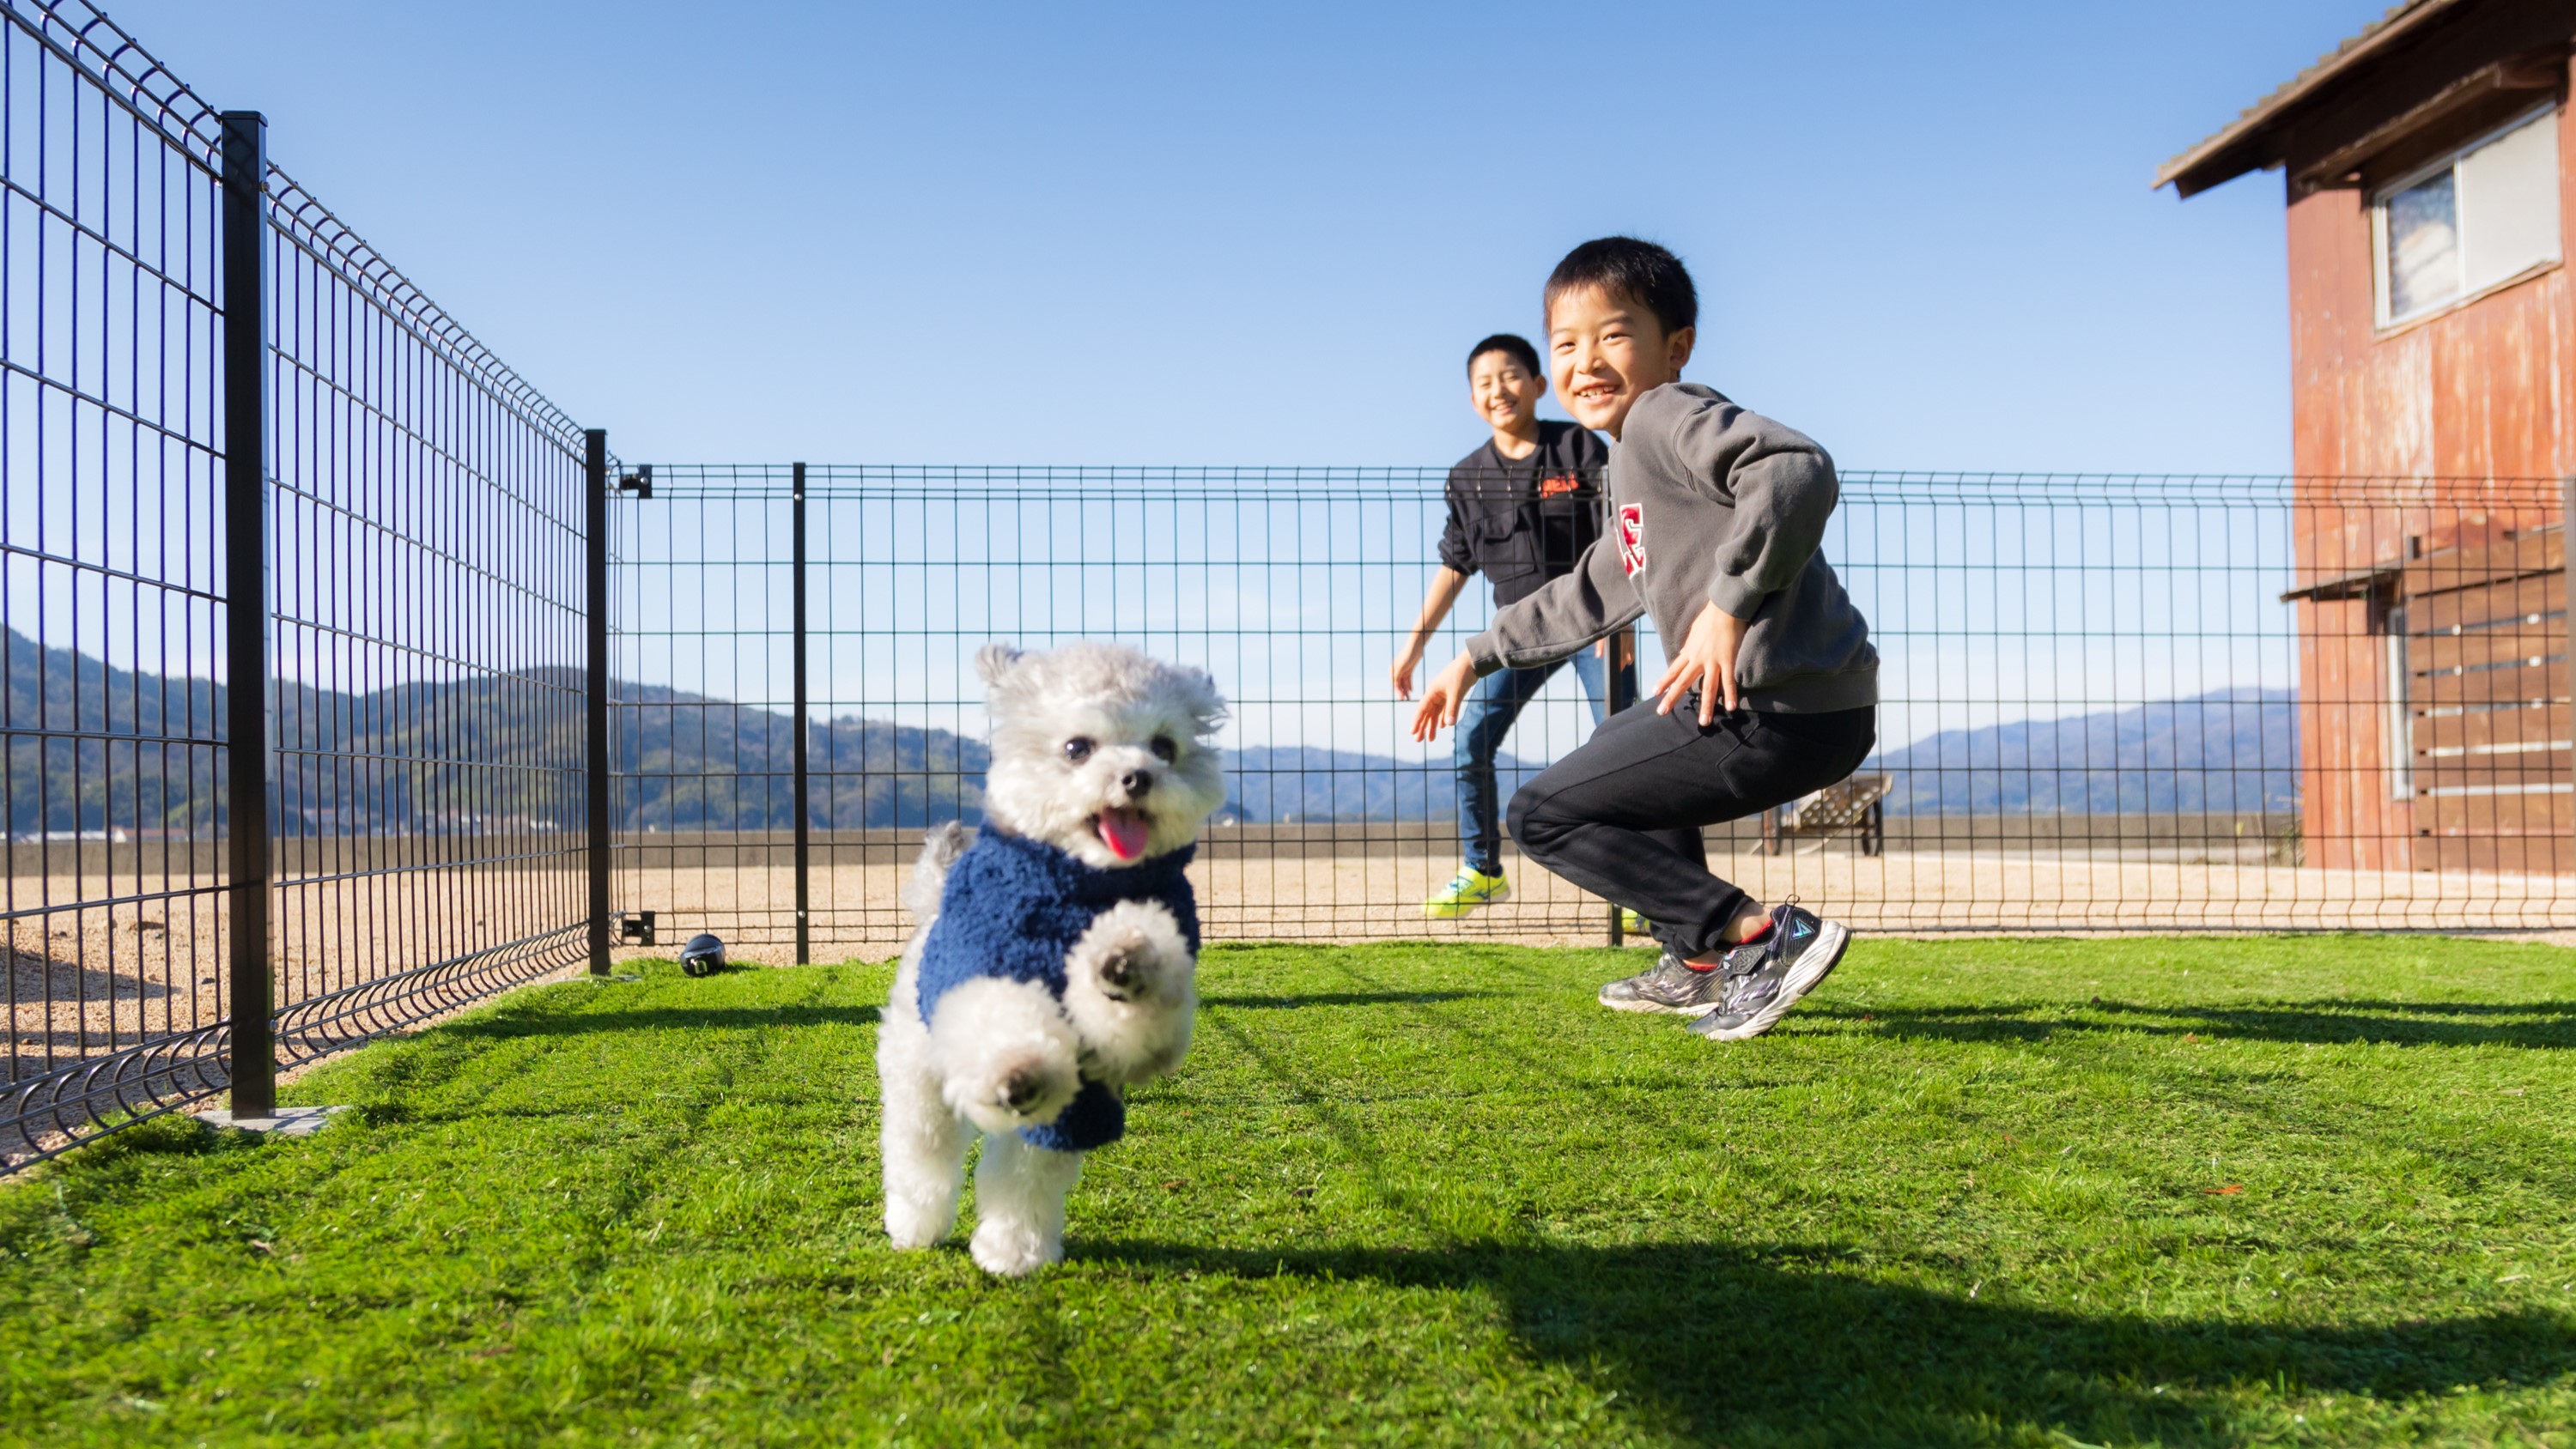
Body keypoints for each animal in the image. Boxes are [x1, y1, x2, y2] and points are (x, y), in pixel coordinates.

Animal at [876, 640, 1226, 1276]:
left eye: (1165, 747)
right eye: (1076, 748)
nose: (1138, 776)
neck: (1079, 890)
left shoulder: (1150, 1017)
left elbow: (1141, 1004)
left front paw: (1125, 958)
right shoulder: (980, 971)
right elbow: (999, 1018)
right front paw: (1017, 1063)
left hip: (1060, 1120)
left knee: (1021, 1176)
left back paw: (1012, 1250)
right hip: (918, 1075)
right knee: (923, 1153)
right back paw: (916, 1226)